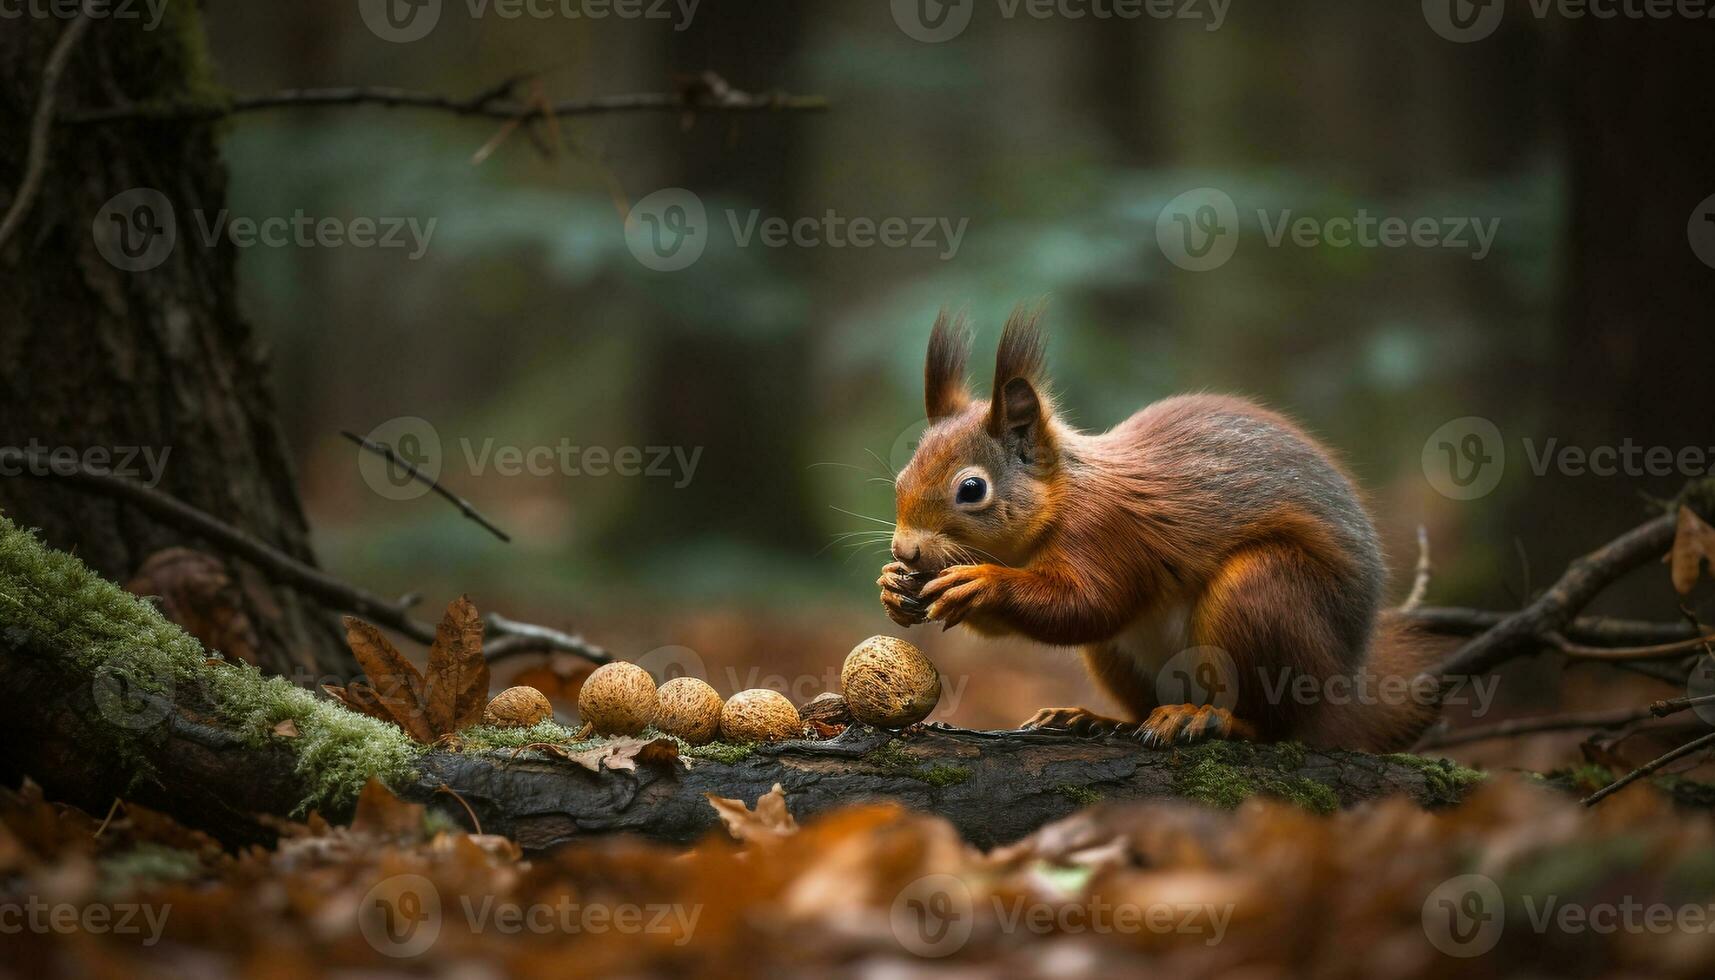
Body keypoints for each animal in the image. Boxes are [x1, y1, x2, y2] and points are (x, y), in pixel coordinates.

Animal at [878, 307, 1440, 751]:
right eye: (901, 479)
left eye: (971, 489)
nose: (905, 550)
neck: (1056, 507)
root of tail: (1341, 689)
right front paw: (891, 586)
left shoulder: (1107, 533)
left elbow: (1086, 605)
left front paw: (984, 583)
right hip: (1119, 658)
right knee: (1140, 703)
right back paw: (1093, 719)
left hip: (1266, 593)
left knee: (1275, 724)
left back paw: (1213, 719)